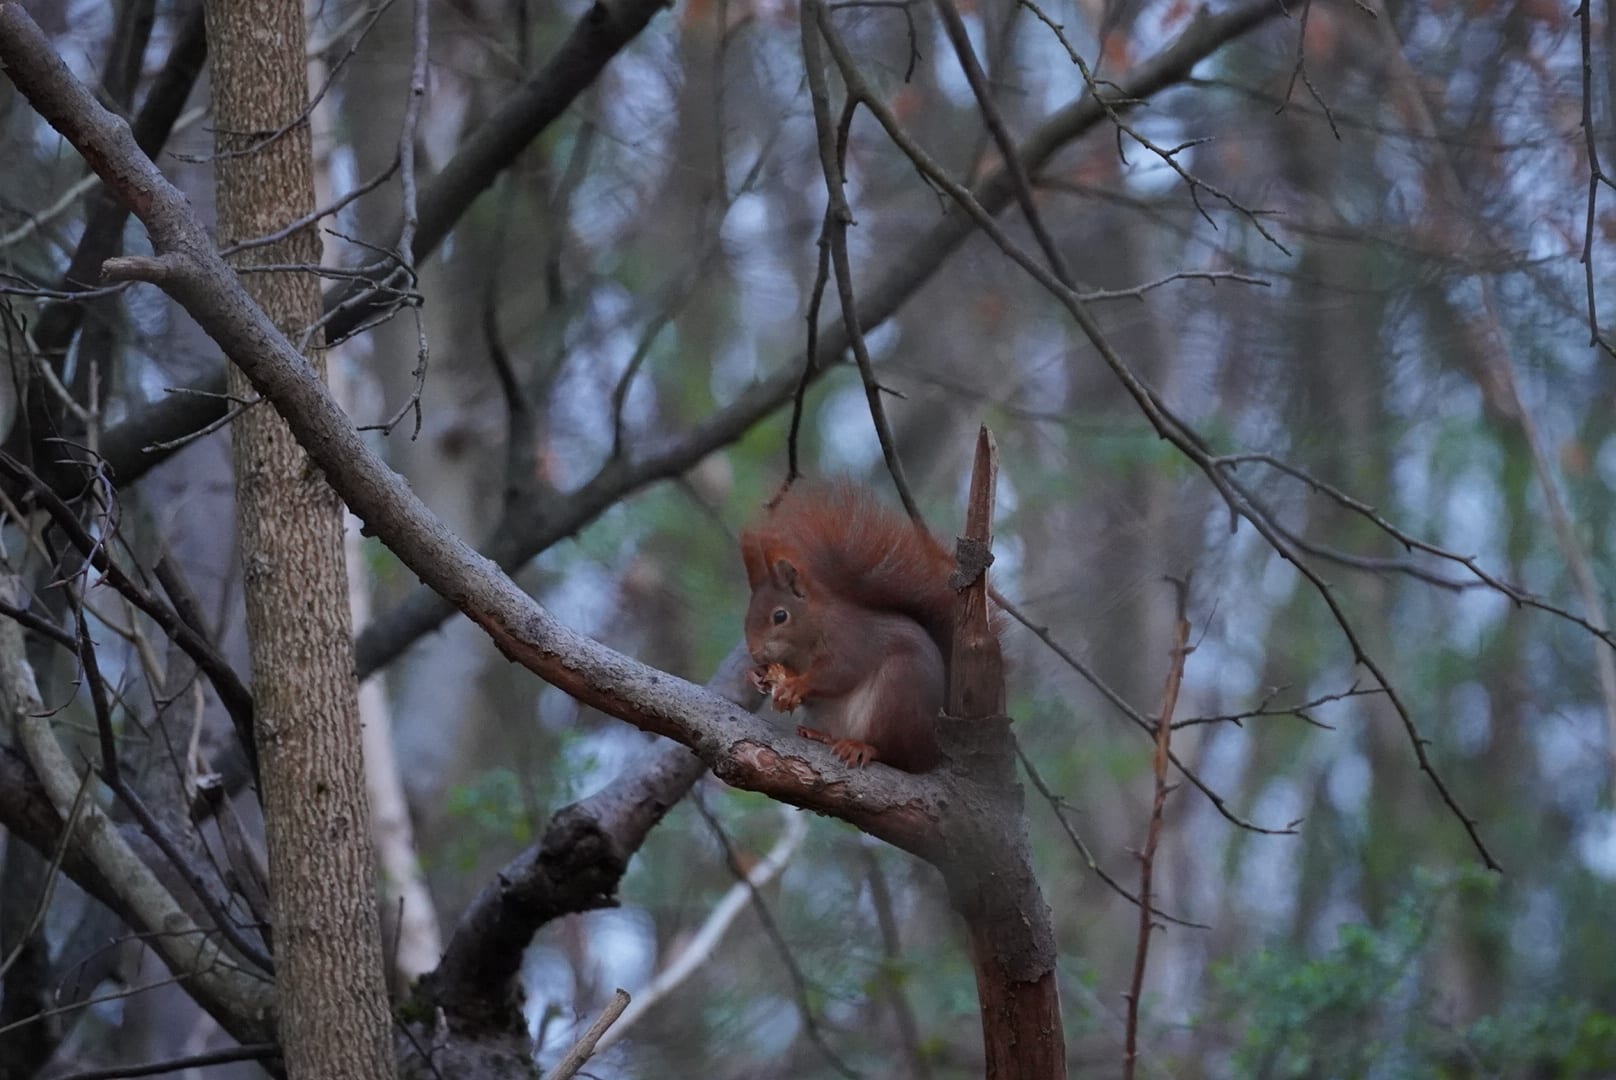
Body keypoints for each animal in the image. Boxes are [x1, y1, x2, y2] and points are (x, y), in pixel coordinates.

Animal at [740, 480, 976, 772]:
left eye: (780, 616)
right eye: (747, 616)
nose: (756, 653)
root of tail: (932, 753)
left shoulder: (850, 640)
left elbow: (839, 672)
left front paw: (796, 685)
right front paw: (757, 675)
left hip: (898, 693)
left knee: (895, 754)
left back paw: (861, 747)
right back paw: (820, 735)